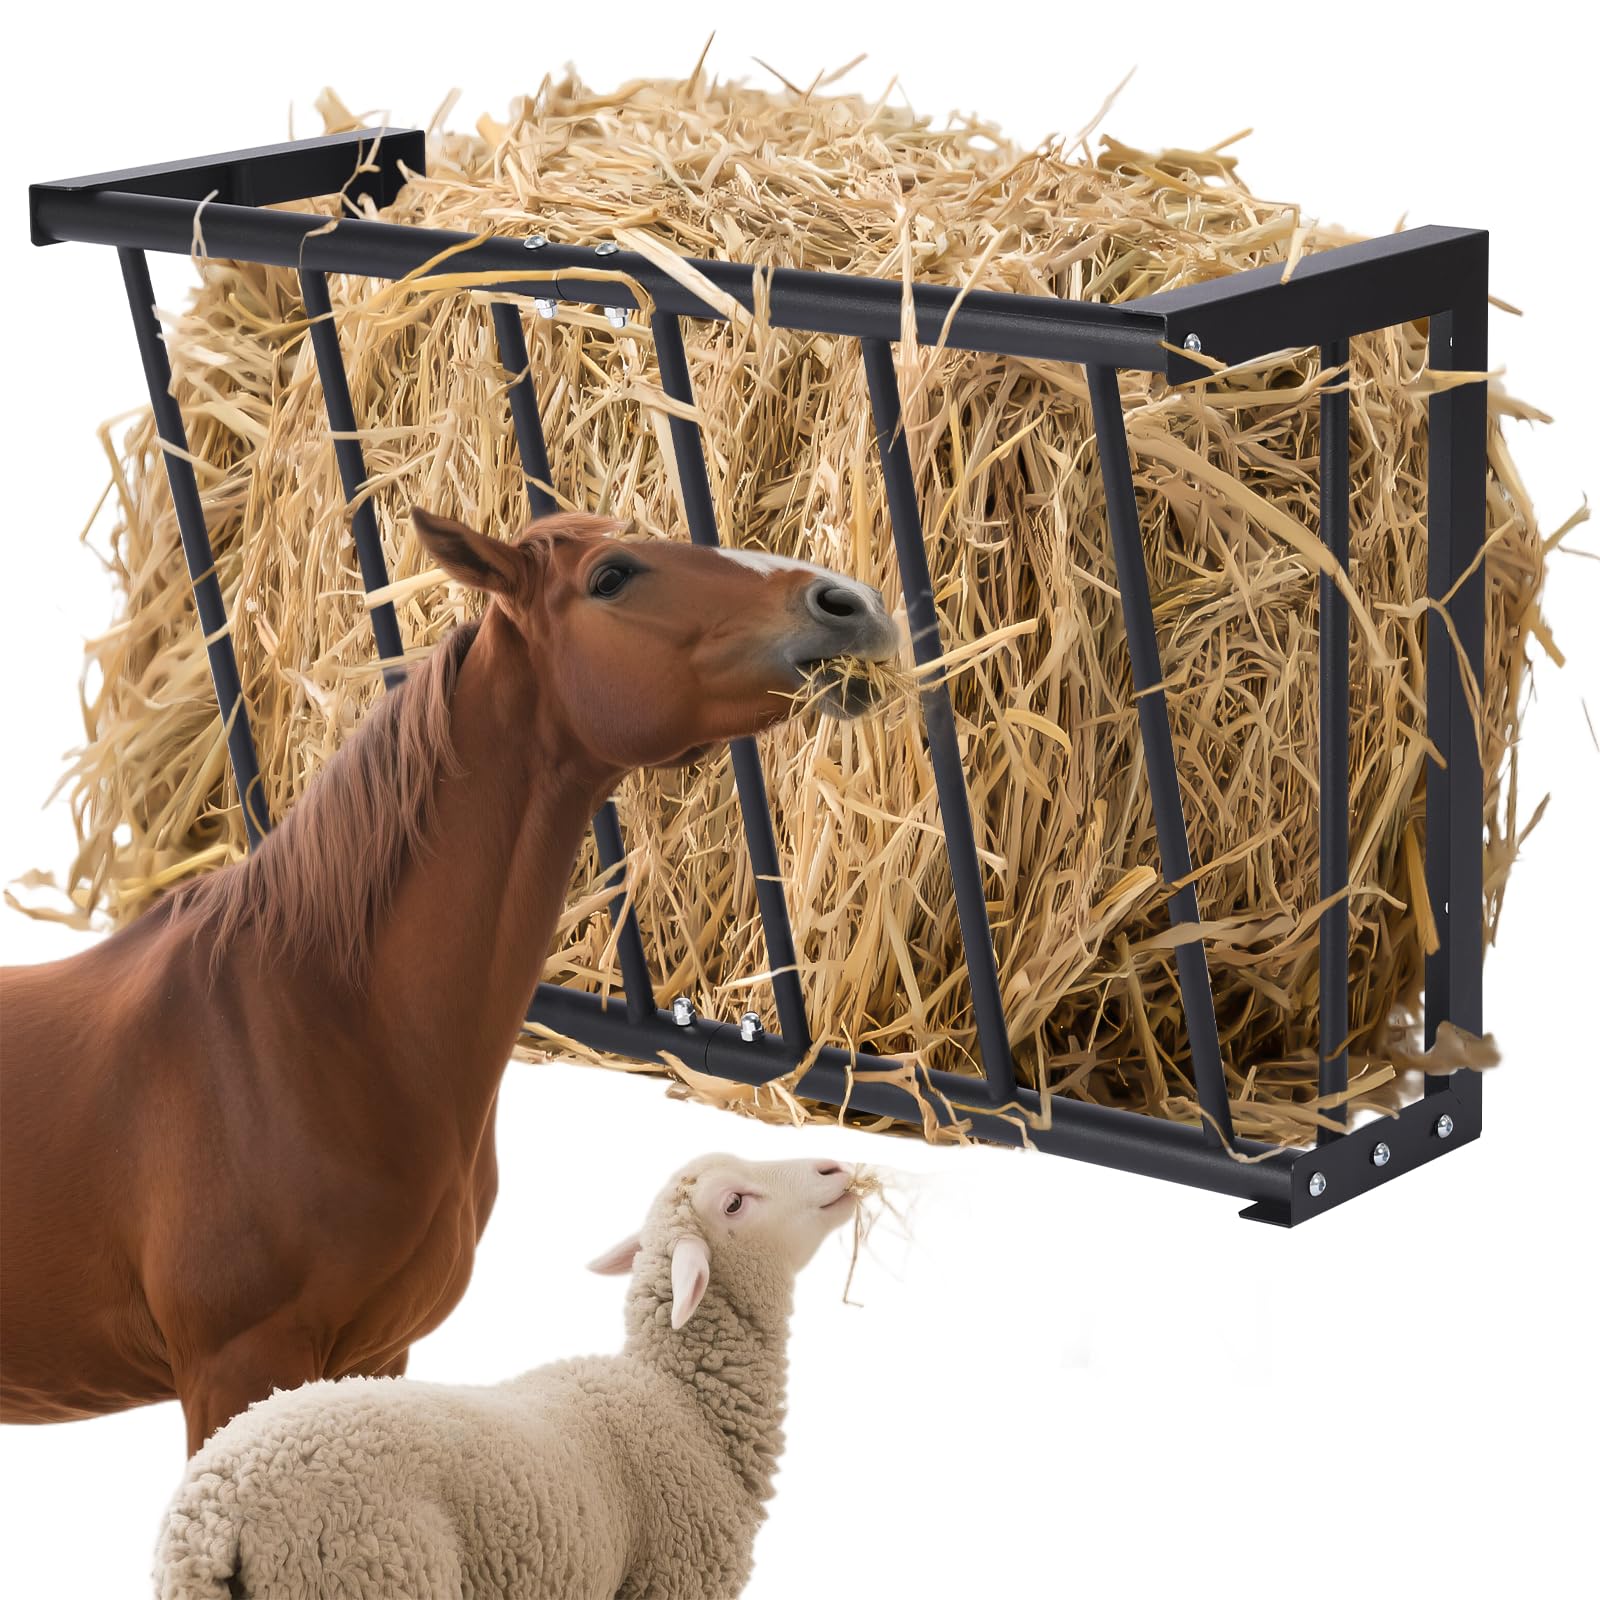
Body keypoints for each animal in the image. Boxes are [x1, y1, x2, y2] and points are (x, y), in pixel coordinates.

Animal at [153, 1153, 863, 1599]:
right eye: (735, 1203)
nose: (836, 1168)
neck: (681, 1400)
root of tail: (212, 1516)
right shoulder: (672, 1582)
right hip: (370, 1574)